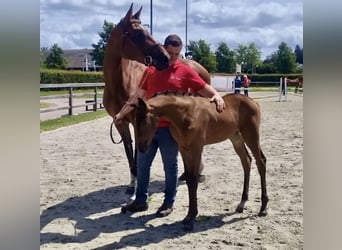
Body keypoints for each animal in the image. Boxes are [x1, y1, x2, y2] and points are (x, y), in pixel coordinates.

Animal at [103, 4, 212, 195]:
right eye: (138, 34)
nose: (165, 58)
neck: (119, 84)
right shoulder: (120, 123)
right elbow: (129, 151)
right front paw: (131, 185)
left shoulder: (137, 121)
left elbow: (138, 154)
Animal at [132, 92, 268, 230]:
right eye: (135, 121)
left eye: (144, 120)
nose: (141, 148)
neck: (185, 115)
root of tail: (253, 101)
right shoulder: (183, 149)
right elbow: (189, 178)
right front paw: (189, 215)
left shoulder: (196, 148)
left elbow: (193, 179)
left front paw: (191, 217)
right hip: (236, 137)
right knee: (246, 161)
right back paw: (242, 203)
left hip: (251, 135)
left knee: (261, 162)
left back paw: (263, 207)